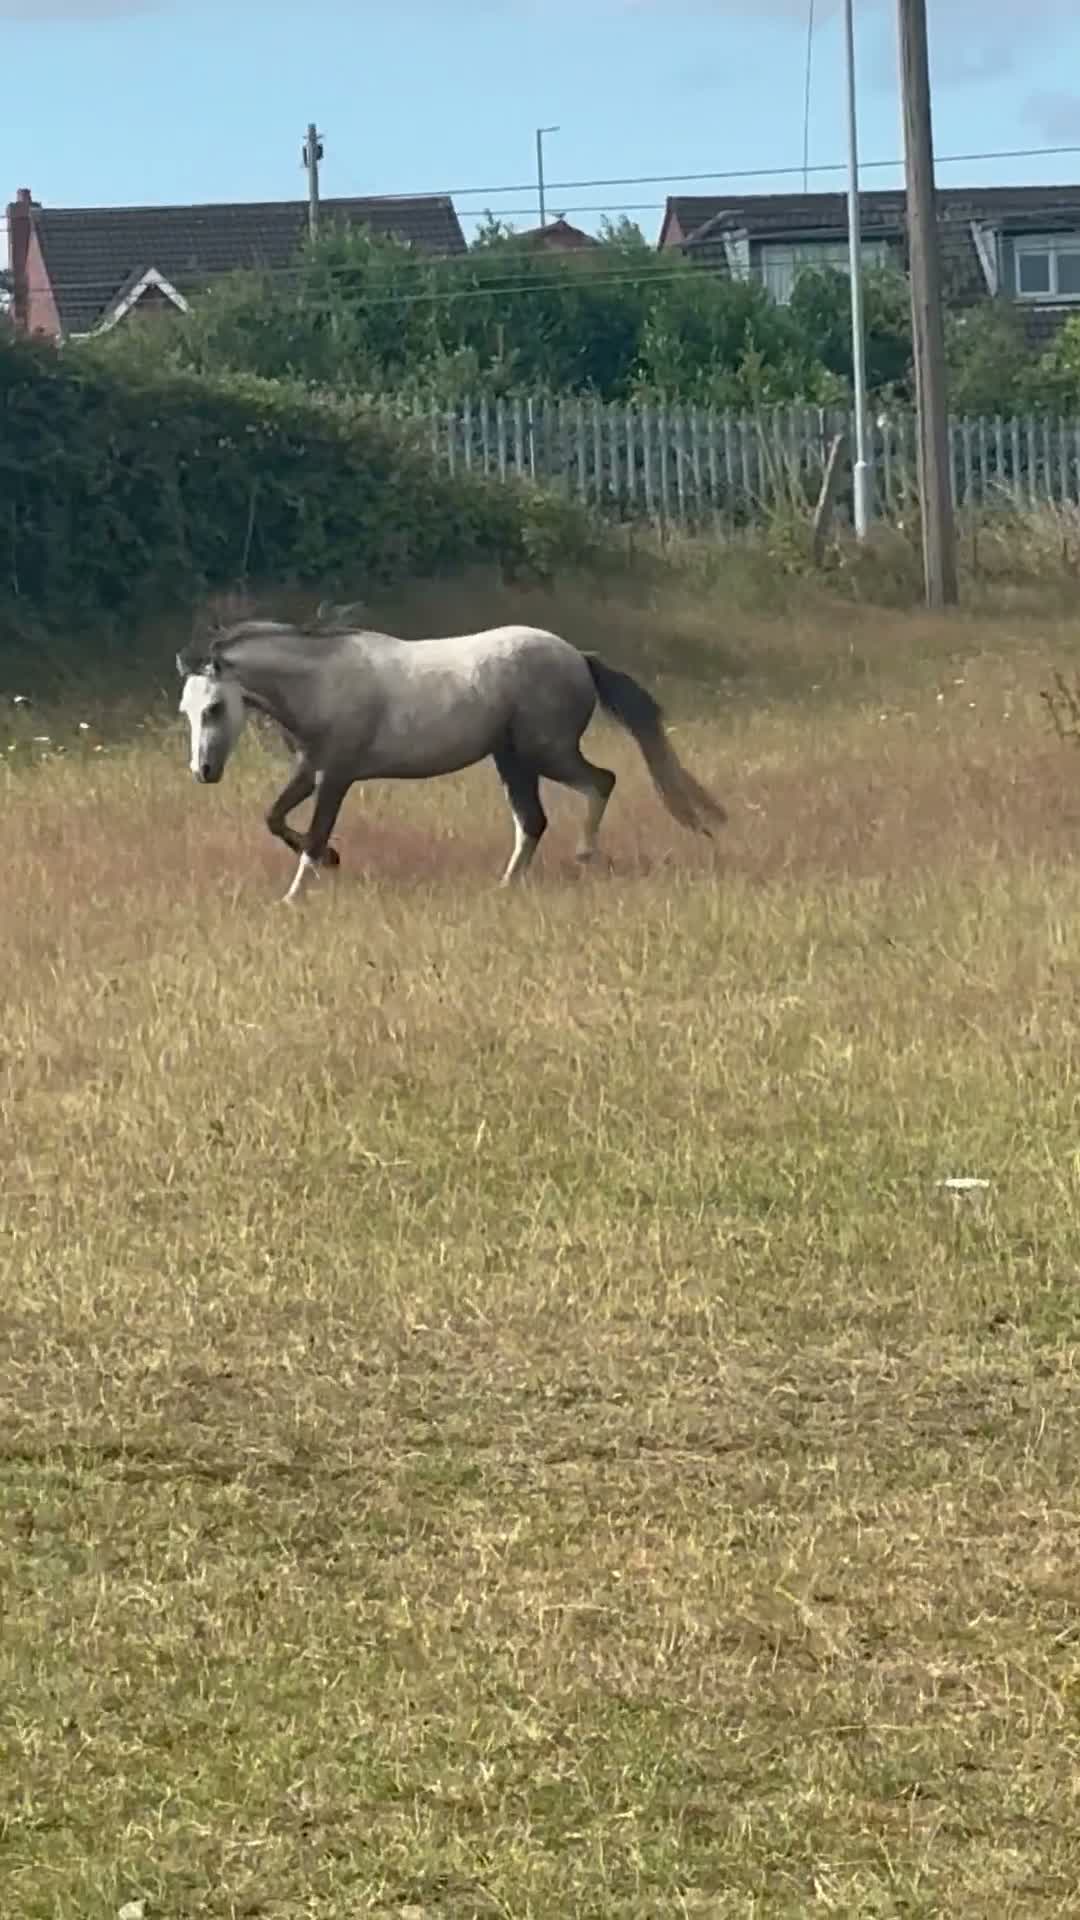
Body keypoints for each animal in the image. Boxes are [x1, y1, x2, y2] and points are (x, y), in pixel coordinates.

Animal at [176, 613, 725, 903]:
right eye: (187, 709)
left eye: (214, 707)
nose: (203, 772)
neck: (322, 685)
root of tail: (577, 657)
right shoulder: (311, 770)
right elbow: (274, 819)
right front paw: (332, 862)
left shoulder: (336, 776)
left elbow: (312, 835)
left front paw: (295, 896)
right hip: (512, 760)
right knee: (533, 820)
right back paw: (507, 885)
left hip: (545, 752)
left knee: (600, 782)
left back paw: (585, 854)